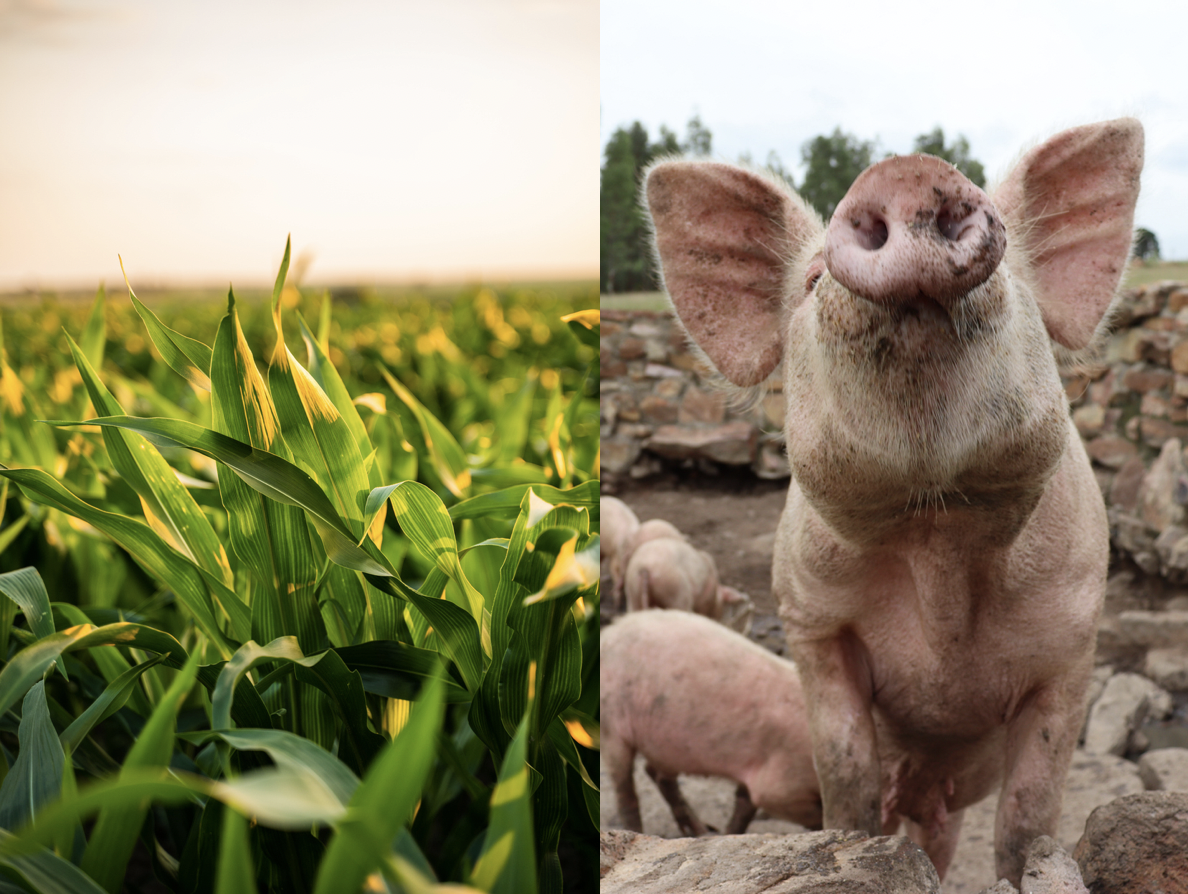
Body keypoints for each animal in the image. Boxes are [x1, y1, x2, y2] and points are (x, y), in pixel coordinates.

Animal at [601, 609, 821, 836]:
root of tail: (608, 632)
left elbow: (744, 805)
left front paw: (729, 833)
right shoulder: (782, 783)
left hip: (663, 744)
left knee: (657, 775)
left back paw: (700, 832)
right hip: (611, 723)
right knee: (625, 790)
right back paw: (639, 831)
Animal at [642, 119, 1142, 884]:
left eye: (1013, 275)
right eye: (812, 280)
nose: (904, 172)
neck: (935, 544)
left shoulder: (1074, 641)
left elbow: (1029, 813)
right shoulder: (810, 621)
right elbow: (845, 773)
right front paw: (848, 848)